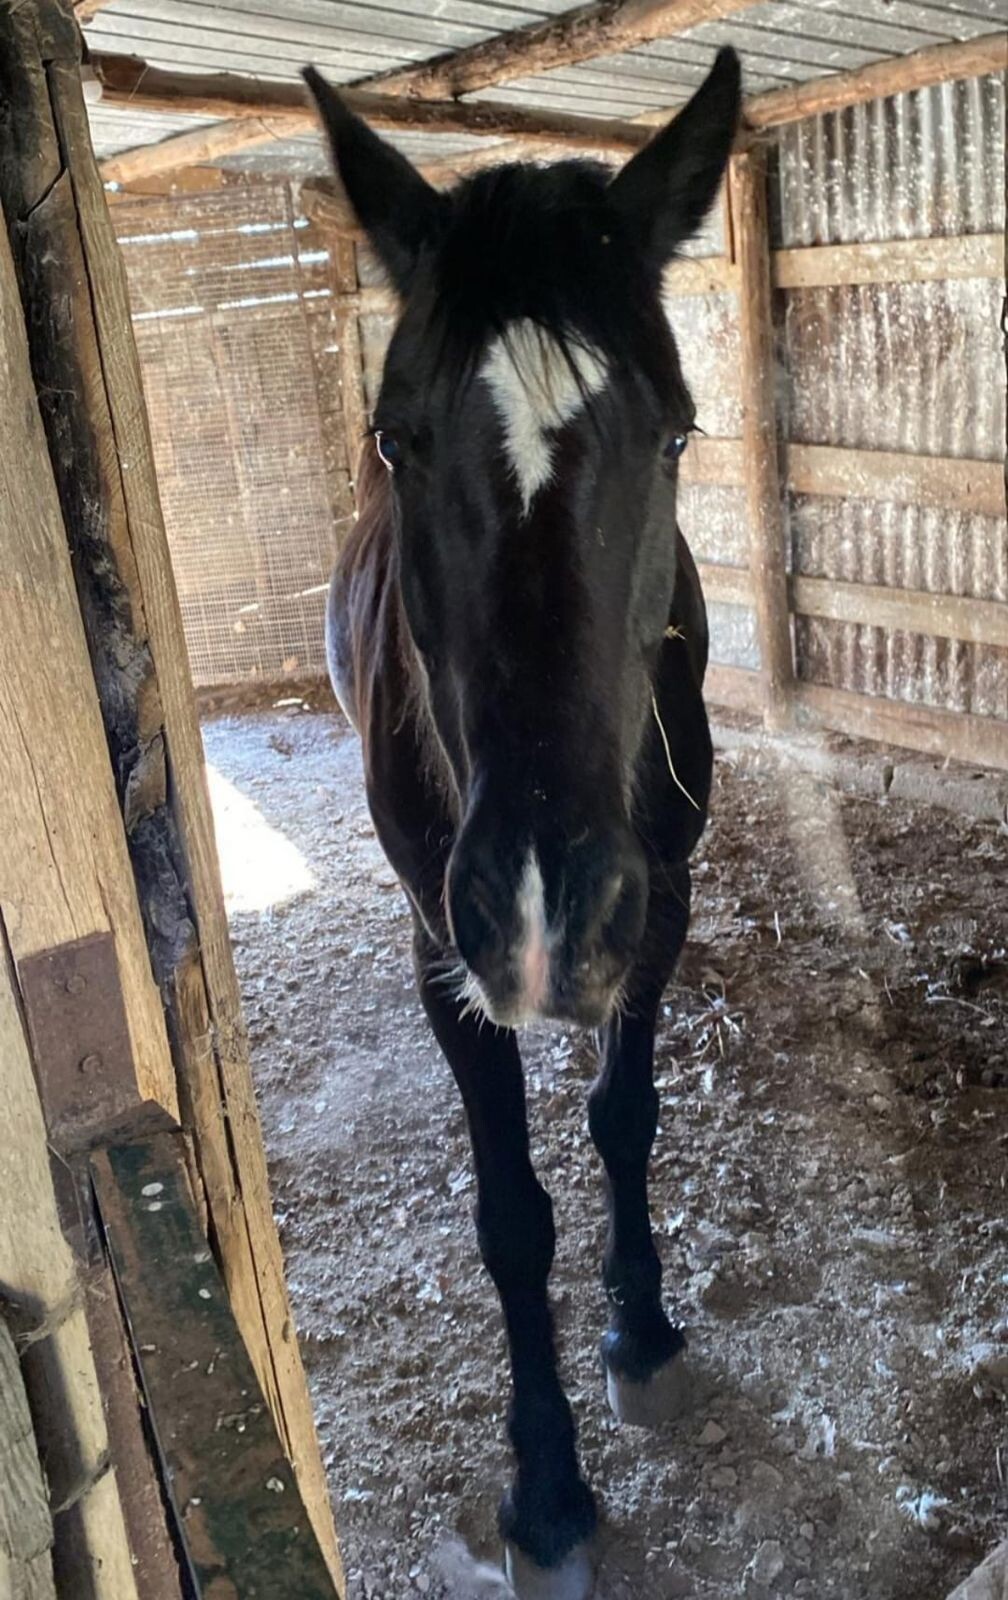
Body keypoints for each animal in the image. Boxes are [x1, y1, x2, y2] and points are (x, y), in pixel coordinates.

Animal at [304, 51, 741, 1600]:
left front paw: (643, 1333)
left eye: (674, 431)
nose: (547, 905)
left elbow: (623, 1115)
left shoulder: (659, 901)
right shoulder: (446, 948)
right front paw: (547, 1490)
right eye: (398, 435)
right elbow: (509, 1216)